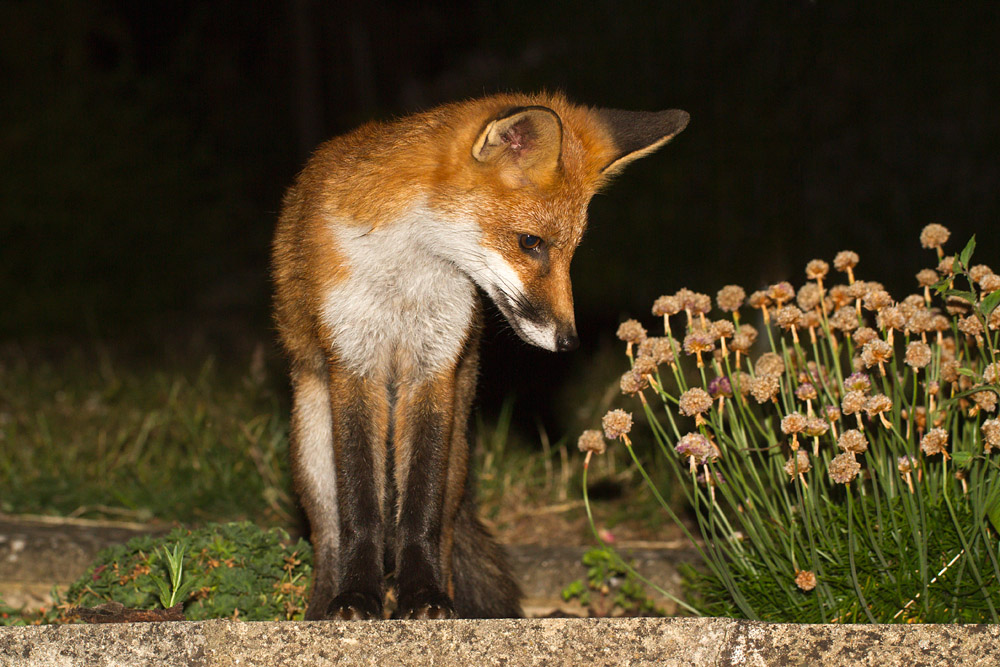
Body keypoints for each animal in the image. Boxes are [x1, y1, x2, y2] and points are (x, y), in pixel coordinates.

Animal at [271, 92, 688, 620]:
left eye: (573, 251)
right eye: (531, 242)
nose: (569, 342)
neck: (405, 276)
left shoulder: (435, 367)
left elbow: (420, 510)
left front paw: (424, 595)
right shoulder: (354, 362)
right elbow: (362, 508)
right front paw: (357, 597)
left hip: (456, 451)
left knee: (443, 526)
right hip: (313, 440)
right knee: (328, 534)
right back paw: (323, 602)